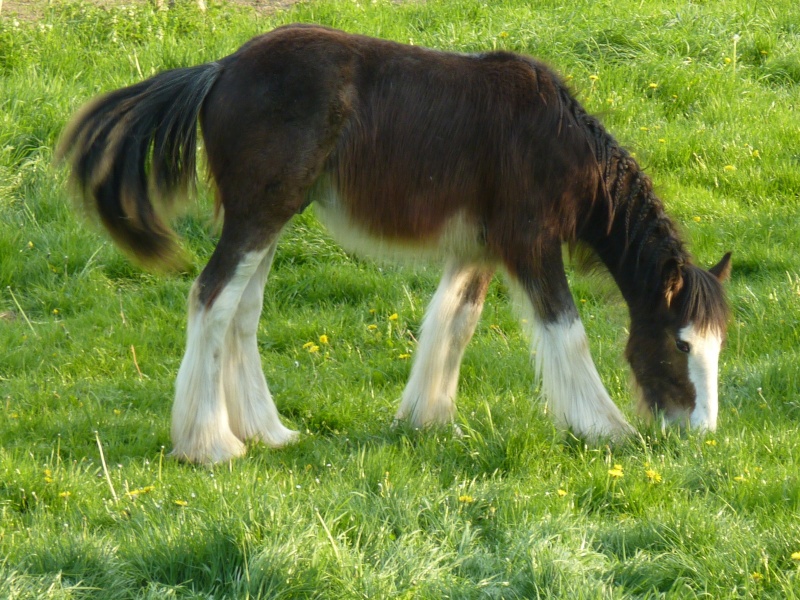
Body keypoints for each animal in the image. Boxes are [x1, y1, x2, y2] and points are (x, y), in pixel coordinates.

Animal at [56, 23, 732, 464]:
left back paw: (270, 433)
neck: (557, 141)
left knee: (241, 312)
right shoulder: (529, 244)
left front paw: (428, 420)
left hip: (271, 215)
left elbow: (453, 324)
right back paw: (212, 445)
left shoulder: (478, 250)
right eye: (681, 343)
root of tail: (220, 70)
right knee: (211, 298)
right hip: (258, 215)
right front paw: (605, 429)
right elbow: (567, 333)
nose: (702, 432)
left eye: (718, 346)